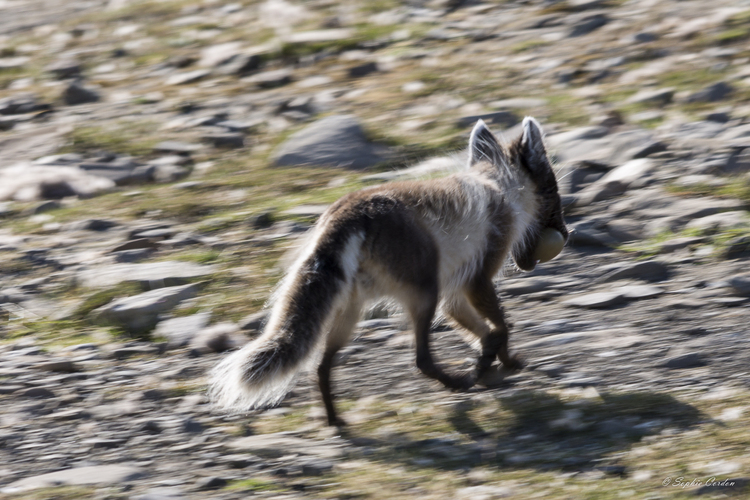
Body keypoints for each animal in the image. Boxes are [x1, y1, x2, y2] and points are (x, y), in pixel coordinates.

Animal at [209, 117, 568, 426]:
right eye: (554, 192)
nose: (567, 234)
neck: (496, 184)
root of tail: (345, 216)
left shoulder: (455, 294)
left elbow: (487, 331)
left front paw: (498, 361)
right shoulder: (476, 279)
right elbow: (501, 326)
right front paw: (495, 363)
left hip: (349, 310)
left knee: (321, 366)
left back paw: (336, 421)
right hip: (424, 293)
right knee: (421, 360)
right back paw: (458, 382)